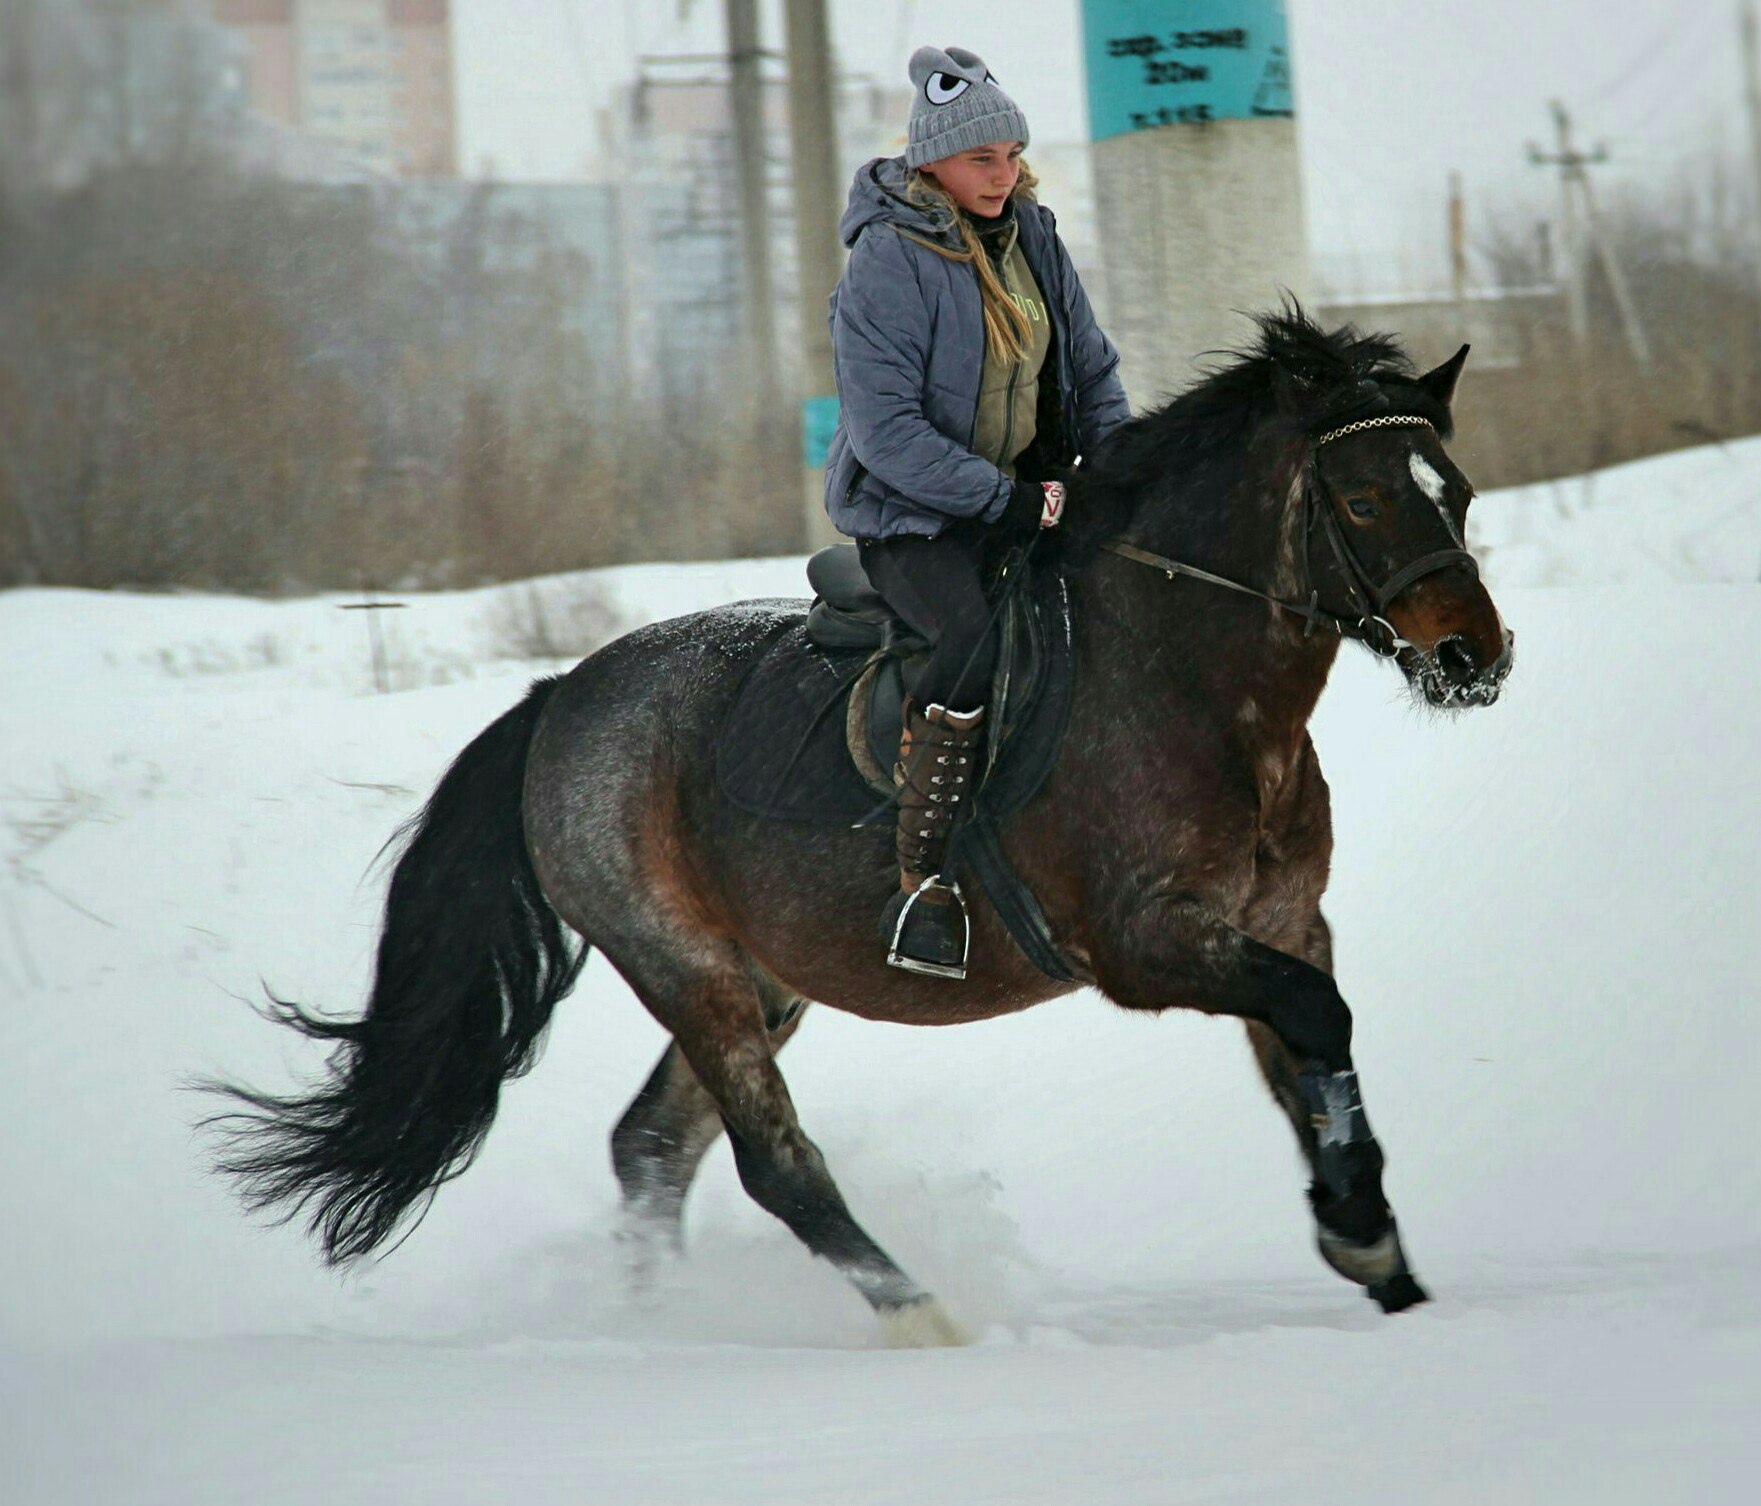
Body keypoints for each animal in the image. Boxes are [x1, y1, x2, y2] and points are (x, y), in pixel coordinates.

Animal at [209, 302, 1514, 1345]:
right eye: (1360, 498)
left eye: (1455, 491)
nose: (1473, 658)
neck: (1194, 682)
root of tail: (557, 703)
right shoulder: (1146, 944)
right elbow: (1315, 1020)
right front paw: (1360, 1232)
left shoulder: (1282, 918)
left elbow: (1310, 1054)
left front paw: (1375, 1250)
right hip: (684, 967)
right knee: (771, 1164)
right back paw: (922, 1317)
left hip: (759, 978)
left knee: (651, 1149)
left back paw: (663, 1326)